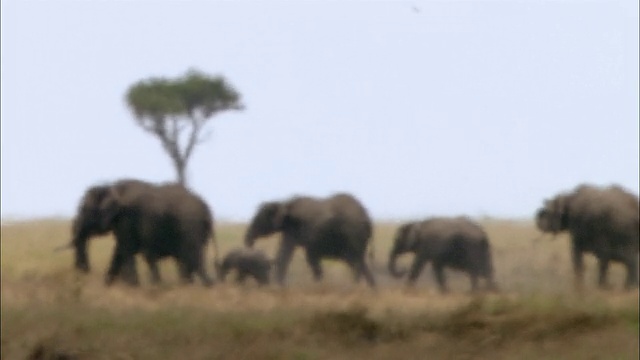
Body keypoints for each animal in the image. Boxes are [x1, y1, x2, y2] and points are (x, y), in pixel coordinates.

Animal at [61, 179, 219, 286]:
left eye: (84, 210)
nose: (84, 270)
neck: (110, 185)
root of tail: (208, 211)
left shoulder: (126, 217)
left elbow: (126, 249)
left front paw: (133, 286)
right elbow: (119, 251)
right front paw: (108, 285)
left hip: (190, 227)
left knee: (192, 259)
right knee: (187, 261)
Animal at [244, 193, 376, 288]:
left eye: (259, 219)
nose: (250, 246)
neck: (283, 202)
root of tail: (368, 219)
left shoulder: (298, 228)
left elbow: (297, 254)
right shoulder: (291, 229)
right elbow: (286, 253)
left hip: (353, 234)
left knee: (355, 262)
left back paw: (354, 286)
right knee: (361, 262)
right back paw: (372, 289)